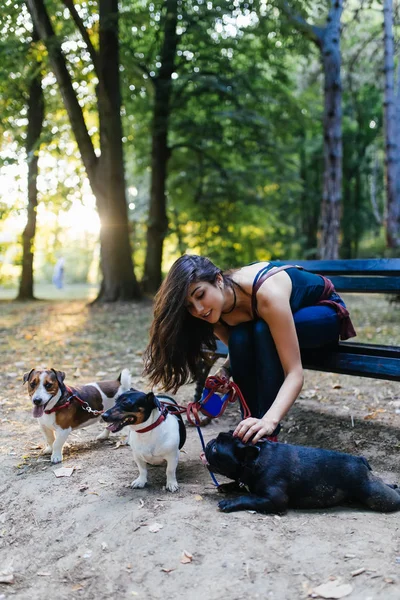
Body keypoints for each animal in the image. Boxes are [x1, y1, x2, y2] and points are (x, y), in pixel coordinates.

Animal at [203, 434, 400, 512]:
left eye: (215, 449)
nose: (209, 442)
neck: (255, 459)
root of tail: (360, 459)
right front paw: (227, 486)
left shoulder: (275, 500)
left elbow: (249, 498)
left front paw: (230, 502)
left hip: (376, 496)